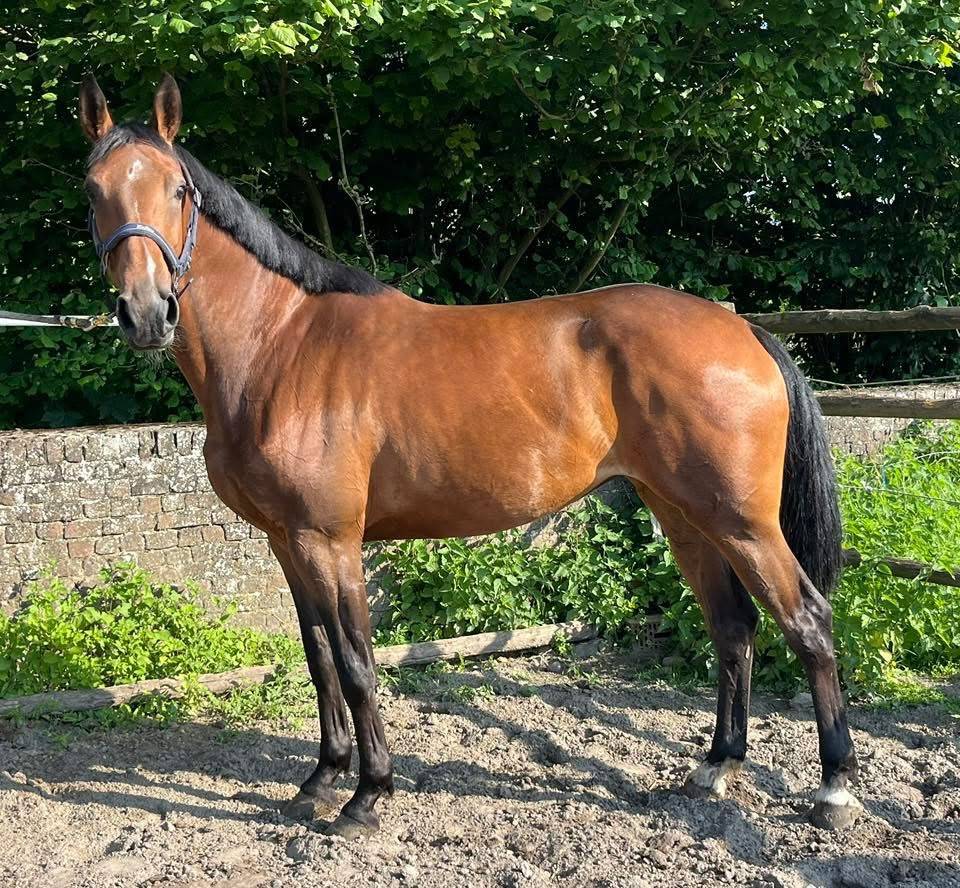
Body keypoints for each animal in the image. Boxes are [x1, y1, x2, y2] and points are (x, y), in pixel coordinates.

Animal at [77, 74, 860, 837]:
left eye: (179, 190)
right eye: (93, 189)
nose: (146, 312)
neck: (282, 345)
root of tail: (742, 330)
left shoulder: (330, 540)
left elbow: (357, 665)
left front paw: (368, 797)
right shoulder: (284, 541)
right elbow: (319, 659)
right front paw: (319, 782)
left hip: (742, 522)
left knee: (808, 622)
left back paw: (835, 790)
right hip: (683, 514)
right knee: (733, 627)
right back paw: (715, 767)